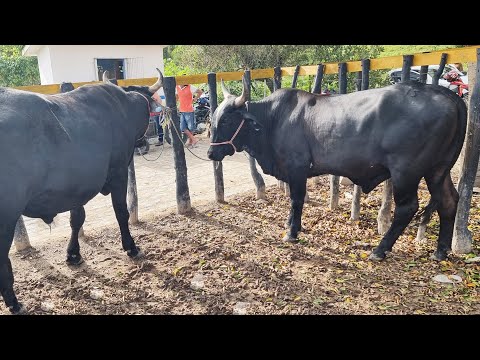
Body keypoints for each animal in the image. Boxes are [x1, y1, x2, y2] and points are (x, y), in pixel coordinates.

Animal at [0, 69, 164, 314]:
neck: (123, 107)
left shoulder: (77, 187)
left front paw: (73, 254)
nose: (144, 143)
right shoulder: (118, 173)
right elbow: (121, 212)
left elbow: (77, 219)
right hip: (7, 217)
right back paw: (13, 301)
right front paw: (131, 247)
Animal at [208, 75, 466, 264]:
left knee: (407, 208)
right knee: (448, 201)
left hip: (406, 172)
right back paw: (440, 251)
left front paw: (292, 232)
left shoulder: (297, 167)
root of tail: (447, 95)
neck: (273, 120)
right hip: (437, 170)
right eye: (213, 119)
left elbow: (296, 199)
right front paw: (291, 226)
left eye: (227, 120)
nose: (211, 153)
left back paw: (380, 250)